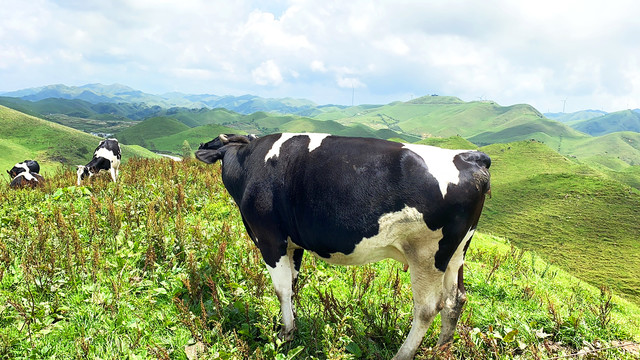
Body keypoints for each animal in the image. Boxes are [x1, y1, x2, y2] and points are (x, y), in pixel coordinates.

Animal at [198, 133, 492, 360]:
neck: (249, 163)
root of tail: (471, 157)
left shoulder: (270, 238)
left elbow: (281, 289)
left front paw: (286, 333)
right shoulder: (294, 243)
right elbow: (292, 285)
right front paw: (293, 322)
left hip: (427, 254)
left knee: (428, 308)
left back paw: (403, 354)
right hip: (456, 252)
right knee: (456, 300)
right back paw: (442, 349)